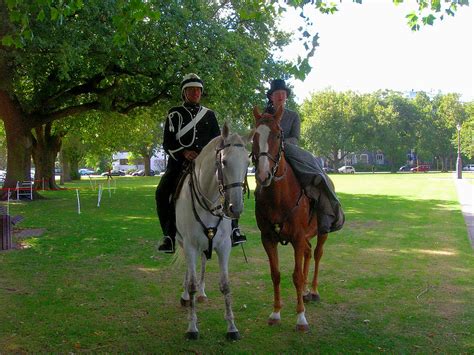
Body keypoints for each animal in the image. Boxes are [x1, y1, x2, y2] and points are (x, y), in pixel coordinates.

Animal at [252, 105, 330, 334]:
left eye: (278, 135)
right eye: (254, 136)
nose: (263, 175)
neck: (278, 196)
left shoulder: (296, 237)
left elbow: (296, 276)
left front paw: (301, 318)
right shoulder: (268, 239)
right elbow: (276, 274)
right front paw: (276, 313)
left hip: (322, 232)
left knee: (317, 254)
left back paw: (313, 291)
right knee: (308, 253)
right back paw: (305, 291)